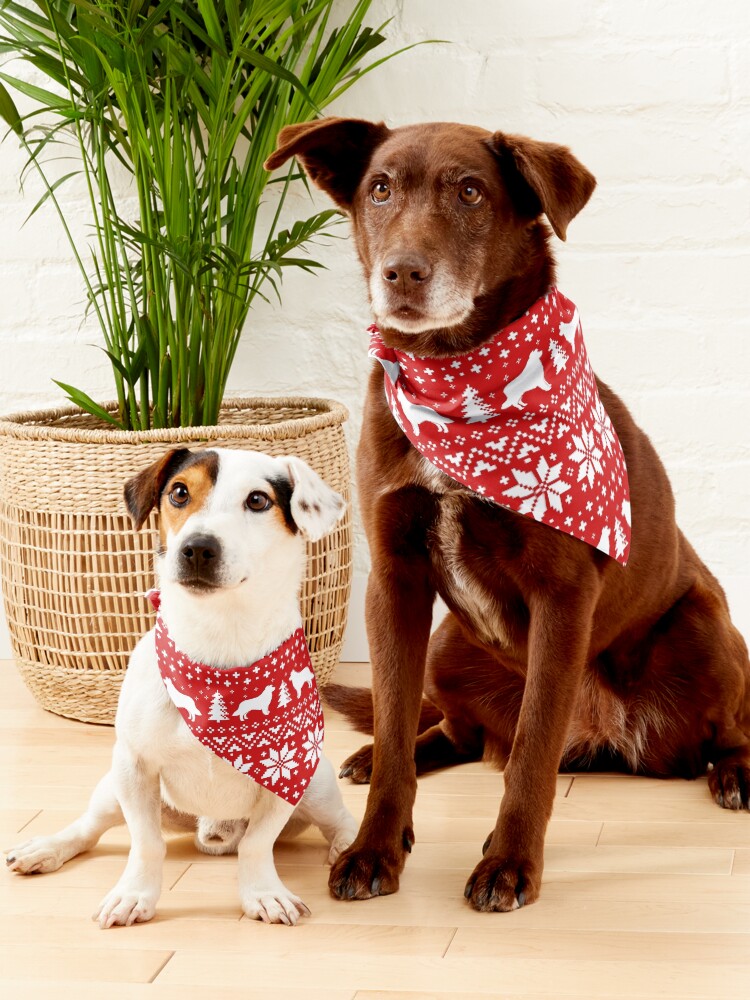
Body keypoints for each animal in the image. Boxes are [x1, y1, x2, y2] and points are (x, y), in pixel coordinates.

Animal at [5, 450, 358, 924]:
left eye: (258, 500)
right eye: (179, 492)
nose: (198, 547)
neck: (217, 641)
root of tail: (212, 829)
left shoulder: (287, 774)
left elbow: (257, 844)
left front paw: (262, 893)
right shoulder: (133, 766)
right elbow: (146, 843)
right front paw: (134, 894)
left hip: (316, 784)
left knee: (340, 820)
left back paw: (349, 849)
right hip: (113, 788)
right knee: (89, 828)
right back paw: (46, 848)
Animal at [268, 121, 748, 912]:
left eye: (470, 192)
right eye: (380, 188)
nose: (402, 273)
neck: (456, 375)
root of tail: (610, 740)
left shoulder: (562, 598)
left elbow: (530, 753)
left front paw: (508, 863)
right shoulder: (393, 581)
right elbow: (397, 722)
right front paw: (374, 847)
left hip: (702, 632)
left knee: (728, 725)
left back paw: (735, 773)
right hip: (448, 647)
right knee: (454, 730)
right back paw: (380, 753)